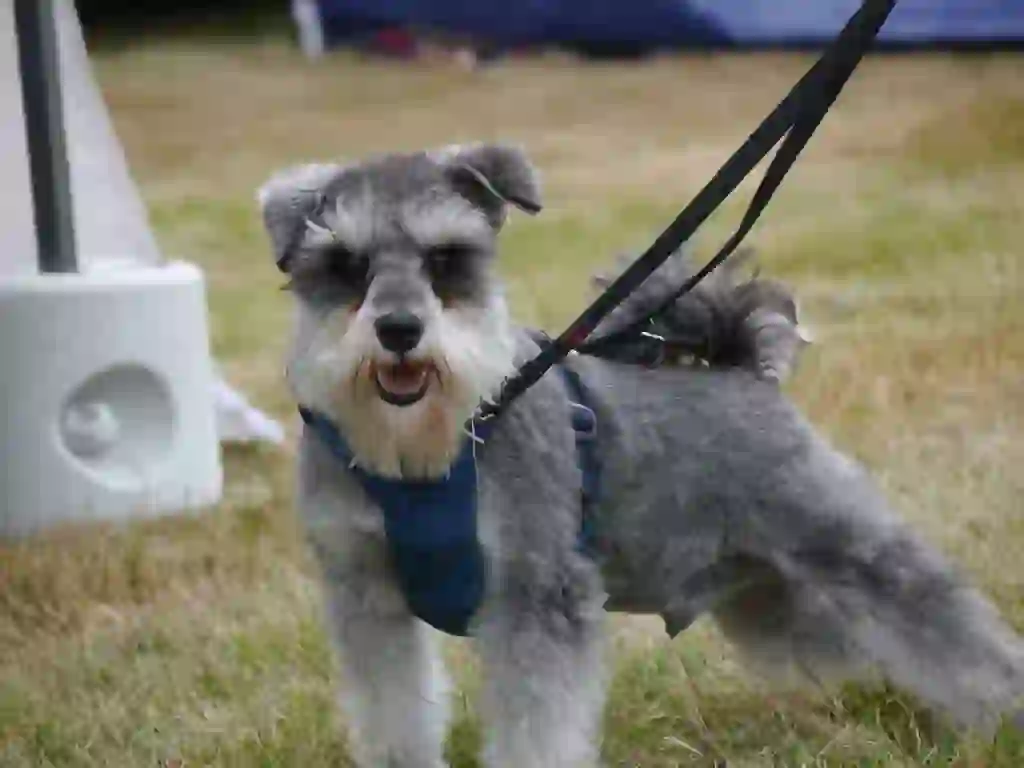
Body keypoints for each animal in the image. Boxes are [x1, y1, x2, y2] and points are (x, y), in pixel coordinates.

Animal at [258, 143, 1024, 765]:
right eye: (344, 265)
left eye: (446, 259)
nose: (398, 329)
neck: (422, 454)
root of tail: (741, 371)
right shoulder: (366, 599)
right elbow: (393, 715)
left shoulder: (538, 599)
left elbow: (539, 728)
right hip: (773, 594)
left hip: (847, 544)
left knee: (949, 630)